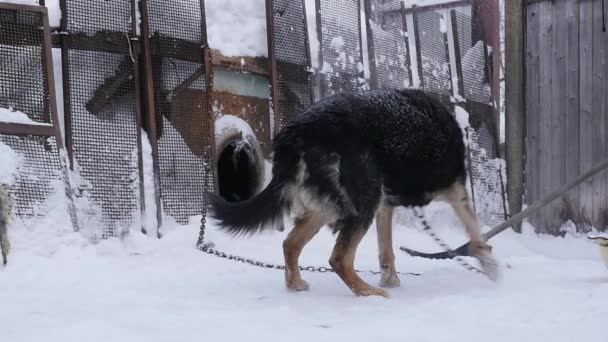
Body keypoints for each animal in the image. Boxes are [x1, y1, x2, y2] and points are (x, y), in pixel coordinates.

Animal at [209, 89, 498, 298]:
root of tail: (298, 132)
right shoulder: (456, 189)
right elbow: (475, 233)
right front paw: (490, 266)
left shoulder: (386, 205)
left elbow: (386, 250)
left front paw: (391, 278)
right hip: (362, 202)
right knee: (338, 258)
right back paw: (369, 292)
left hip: (331, 206)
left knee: (291, 244)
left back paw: (297, 285)